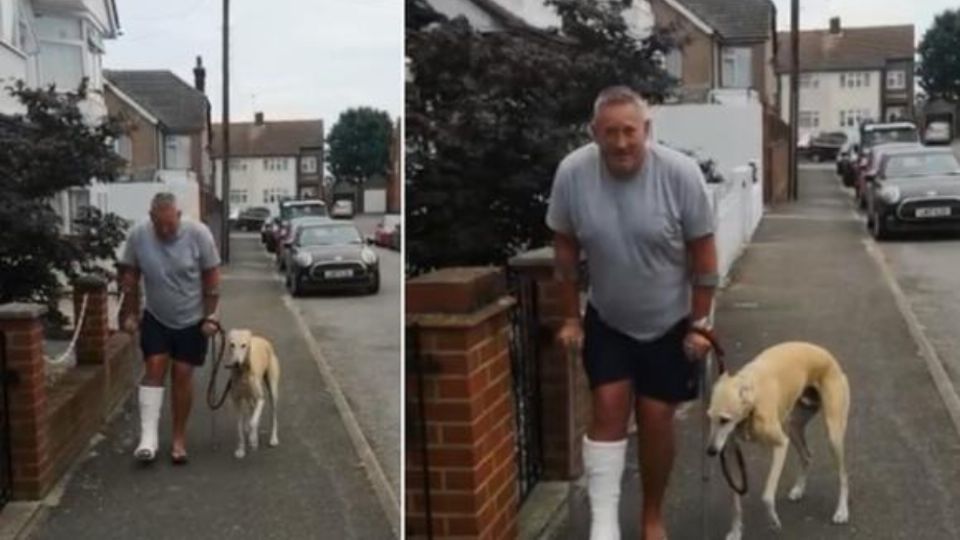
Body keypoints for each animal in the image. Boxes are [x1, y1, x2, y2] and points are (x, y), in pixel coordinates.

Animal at [226, 326, 280, 458]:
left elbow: (253, 422)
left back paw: (273, 439)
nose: (236, 363)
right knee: (251, 411)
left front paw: (252, 440)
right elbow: (240, 427)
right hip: (249, 398)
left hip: (272, 391)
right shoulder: (236, 401)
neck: (243, 374)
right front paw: (241, 450)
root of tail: (263, 339)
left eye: (244, 345)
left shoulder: (261, 399)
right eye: (232, 344)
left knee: (273, 415)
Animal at [704, 344, 848, 536]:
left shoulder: (781, 445)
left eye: (724, 420)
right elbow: (735, 502)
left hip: (833, 434)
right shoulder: (733, 454)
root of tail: (829, 357)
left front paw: (773, 520)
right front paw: (735, 531)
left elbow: (766, 495)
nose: (711, 451)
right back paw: (799, 489)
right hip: (793, 426)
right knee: (807, 455)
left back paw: (842, 511)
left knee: (843, 475)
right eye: (709, 417)